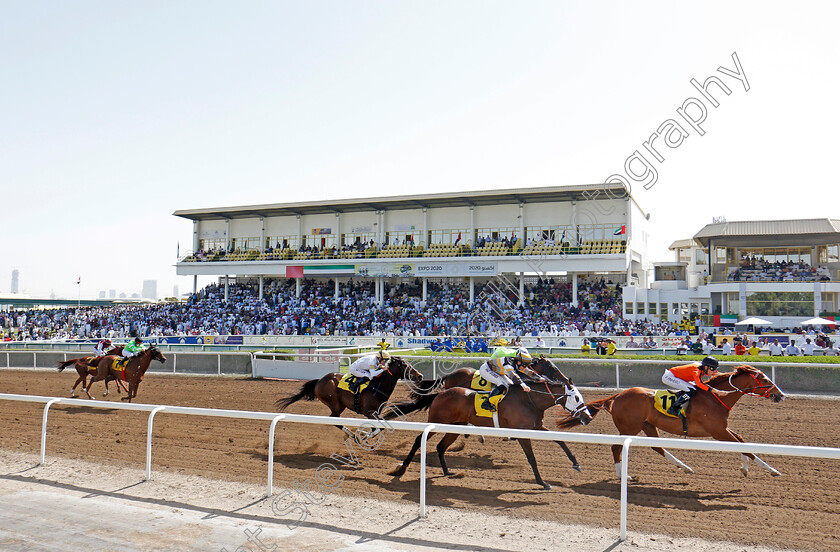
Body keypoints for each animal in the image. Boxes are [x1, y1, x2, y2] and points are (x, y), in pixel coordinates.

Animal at [274, 358, 420, 418]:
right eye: (404, 365)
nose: (420, 375)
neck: (377, 387)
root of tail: (319, 381)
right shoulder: (369, 412)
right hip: (334, 403)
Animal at [390, 378, 592, 490]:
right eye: (576, 397)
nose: (588, 417)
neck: (530, 400)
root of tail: (441, 393)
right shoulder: (523, 433)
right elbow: (532, 458)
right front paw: (542, 483)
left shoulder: (536, 427)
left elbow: (559, 440)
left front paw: (576, 464)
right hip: (439, 422)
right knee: (419, 439)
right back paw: (402, 468)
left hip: (456, 426)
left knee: (441, 446)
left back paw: (447, 471)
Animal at [556, 364, 788, 476]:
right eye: (765, 379)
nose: (781, 395)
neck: (715, 398)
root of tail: (618, 396)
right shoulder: (718, 431)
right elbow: (743, 446)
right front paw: (773, 471)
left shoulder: (722, 429)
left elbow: (741, 442)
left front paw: (746, 469)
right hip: (630, 427)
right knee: (616, 447)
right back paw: (623, 476)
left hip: (648, 425)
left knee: (657, 447)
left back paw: (685, 467)